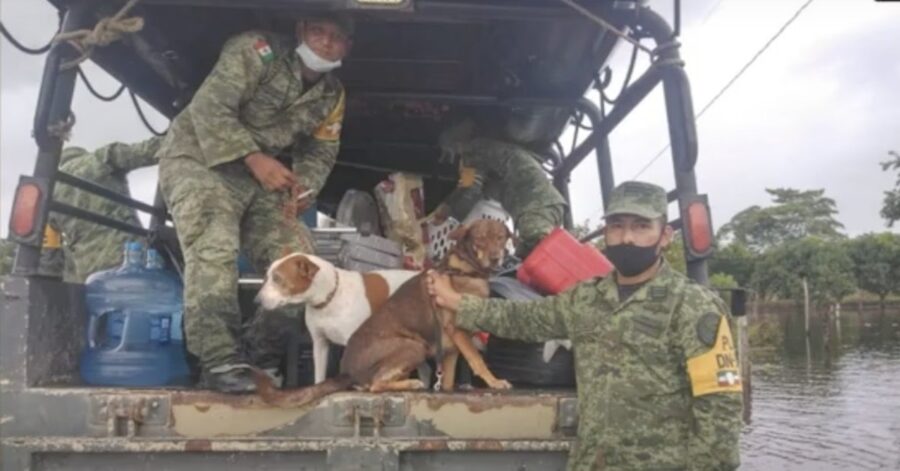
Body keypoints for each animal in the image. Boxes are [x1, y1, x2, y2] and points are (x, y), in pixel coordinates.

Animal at [256, 254, 418, 384]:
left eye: (277, 278)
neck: (329, 299)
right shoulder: (320, 343)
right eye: (267, 276)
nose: (256, 300)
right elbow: (319, 374)